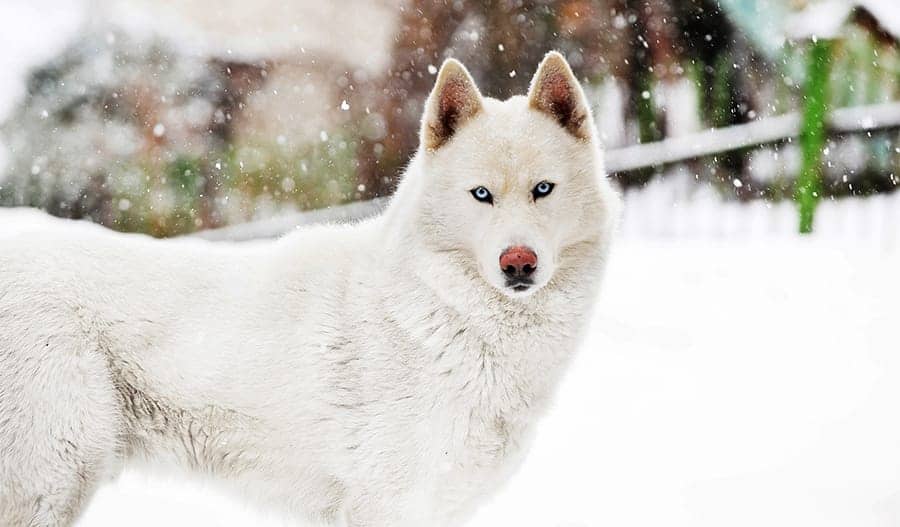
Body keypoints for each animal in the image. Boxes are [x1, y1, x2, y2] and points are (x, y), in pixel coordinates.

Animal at [0, 50, 620, 527]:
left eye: (543, 189)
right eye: (481, 195)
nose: (519, 264)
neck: (440, 312)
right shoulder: (386, 505)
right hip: (51, 481)